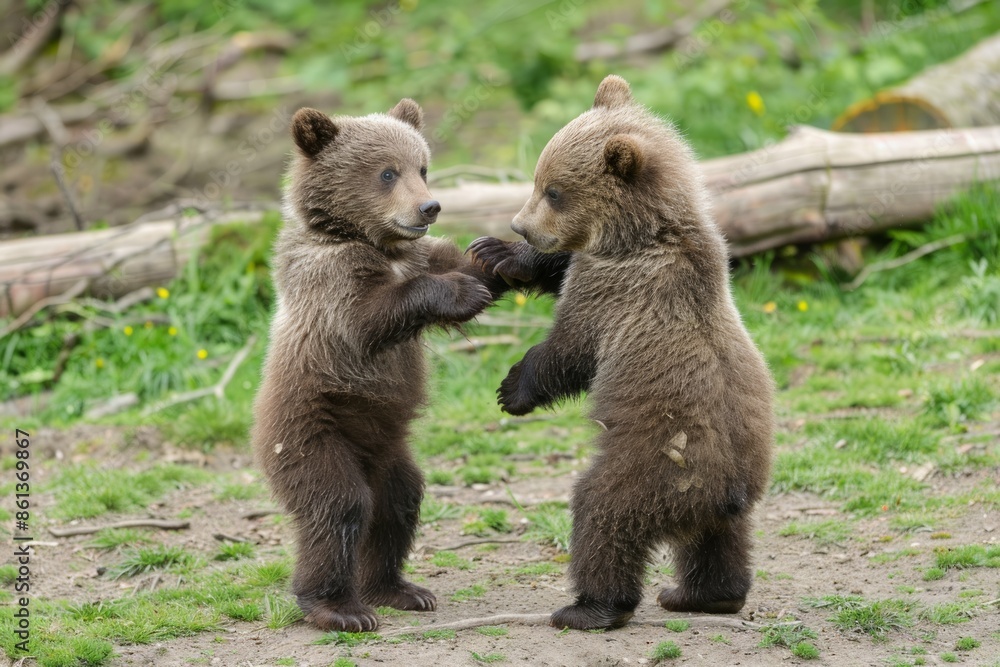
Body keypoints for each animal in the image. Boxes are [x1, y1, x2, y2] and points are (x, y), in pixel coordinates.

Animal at [252, 99, 509, 632]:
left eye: (422, 167)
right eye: (387, 173)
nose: (429, 207)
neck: (376, 243)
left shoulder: (420, 254)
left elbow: (460, 262)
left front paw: (497, 256)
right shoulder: (329, 281)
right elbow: (367, 316)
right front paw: (462, 290)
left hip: (390, 449)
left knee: (398, 504)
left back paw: (399, 589)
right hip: (310, 431)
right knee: (337, 506)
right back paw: (339, 607)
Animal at [468, 75, 774, 631]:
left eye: (554, 190)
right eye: (539, 178)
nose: (520, 225)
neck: (640, 234)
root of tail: (722, 491)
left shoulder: (616, 295)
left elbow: (569, 350)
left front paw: (512, 388)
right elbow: (557, 269)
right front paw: (499, 255)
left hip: (653, 466)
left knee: (602, 517)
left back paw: (588, 606)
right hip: (732, 489)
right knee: (720, 545)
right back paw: (702, 596)